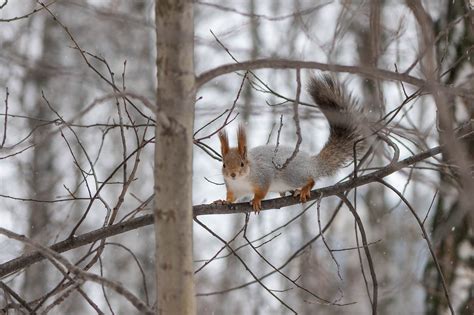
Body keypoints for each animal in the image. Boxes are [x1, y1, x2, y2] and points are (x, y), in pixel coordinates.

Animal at [218, 74, 362, 214]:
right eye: (224, 164)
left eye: (242, 164)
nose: (232, 174)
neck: (241, 181)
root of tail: (311, 163)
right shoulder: (233, 188)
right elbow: (232, 198)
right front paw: (224, 201)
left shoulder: (263, 176)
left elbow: (262, 191)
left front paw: (256, 200)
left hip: (292, 175)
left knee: (311, 179)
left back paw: (304, 189)